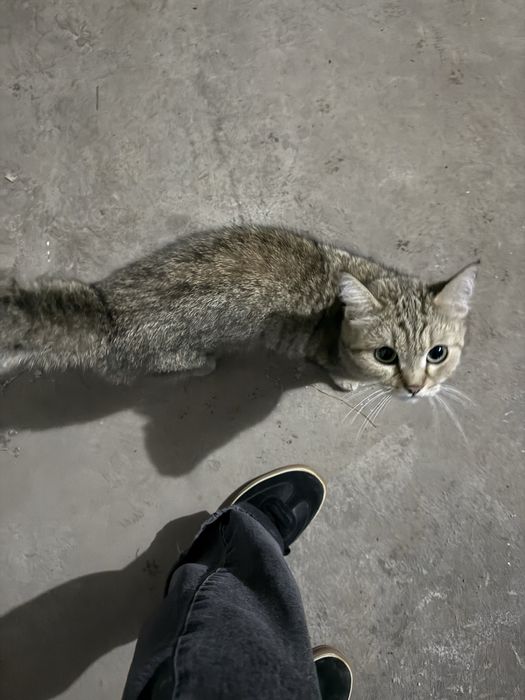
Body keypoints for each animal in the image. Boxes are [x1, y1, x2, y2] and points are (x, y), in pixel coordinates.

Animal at [0, 226, 477, 398]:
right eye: (385, 355)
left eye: (437, 353)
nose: (416, 388)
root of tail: (109, 309)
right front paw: (348, 381)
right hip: (174, 356)